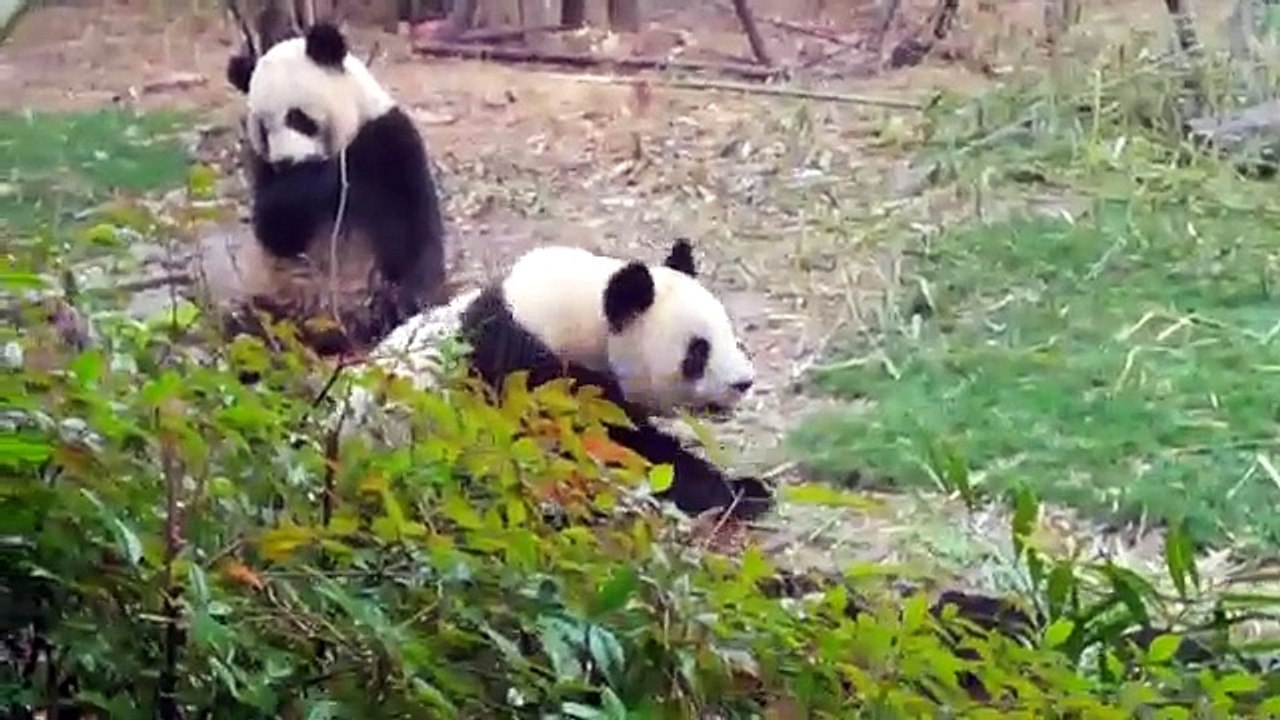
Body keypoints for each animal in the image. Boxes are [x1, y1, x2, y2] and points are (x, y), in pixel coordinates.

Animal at [222, 22, 449, 356]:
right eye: (263, 128)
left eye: (297, 117)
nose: (286, 161)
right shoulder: (262, 169)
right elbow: (275, 229)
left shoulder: (389, 141)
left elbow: (417, 227)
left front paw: (410, 299)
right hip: (276, 294)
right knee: (246, 323)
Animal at [338, 238, 776, 521]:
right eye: (698, 352)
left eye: (728, 332)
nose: (744, 382)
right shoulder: (531, 374)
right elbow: (617, 446)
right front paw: (739, 493)